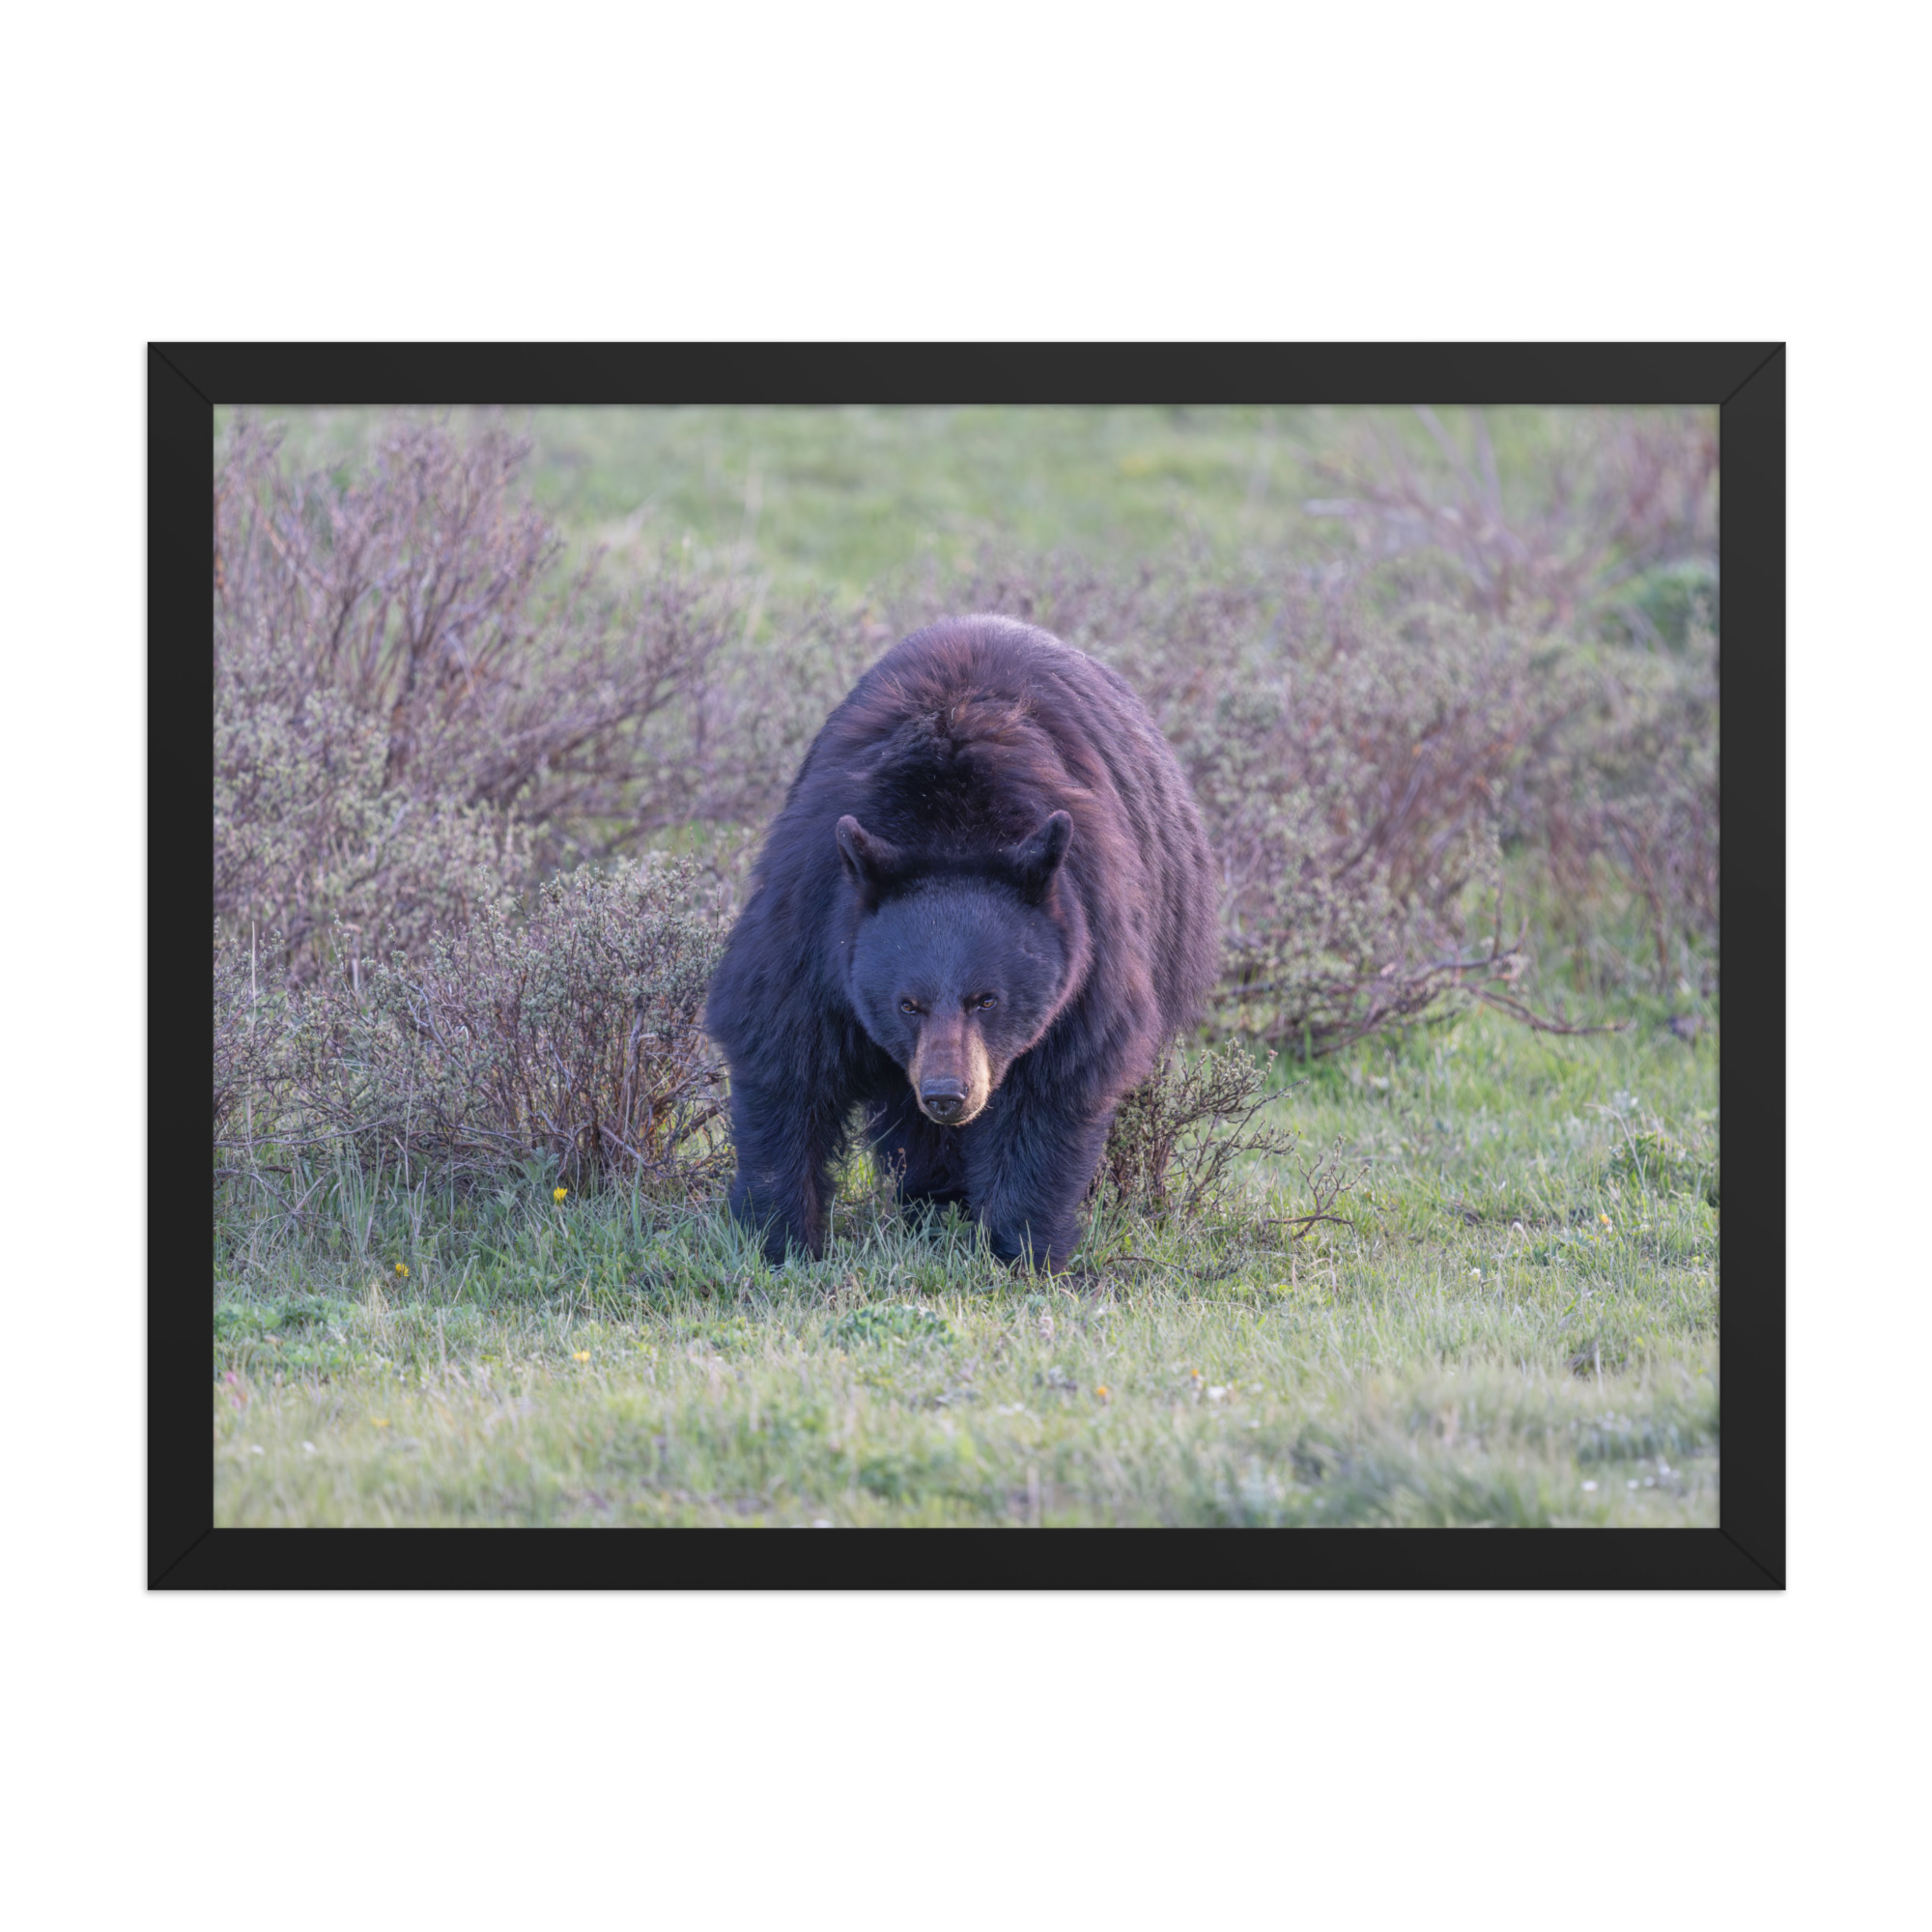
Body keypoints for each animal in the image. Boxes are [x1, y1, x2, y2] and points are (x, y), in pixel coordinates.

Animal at [704, 613, 1220, 1270]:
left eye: (987, 999)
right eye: (907, 1004)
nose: (949, 1095)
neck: (949, 824)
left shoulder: (1090, 941)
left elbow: (1054, 1086)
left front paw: (1023, 1249)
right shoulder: (813, 916)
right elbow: (783, 1053)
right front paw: (781, 1238)